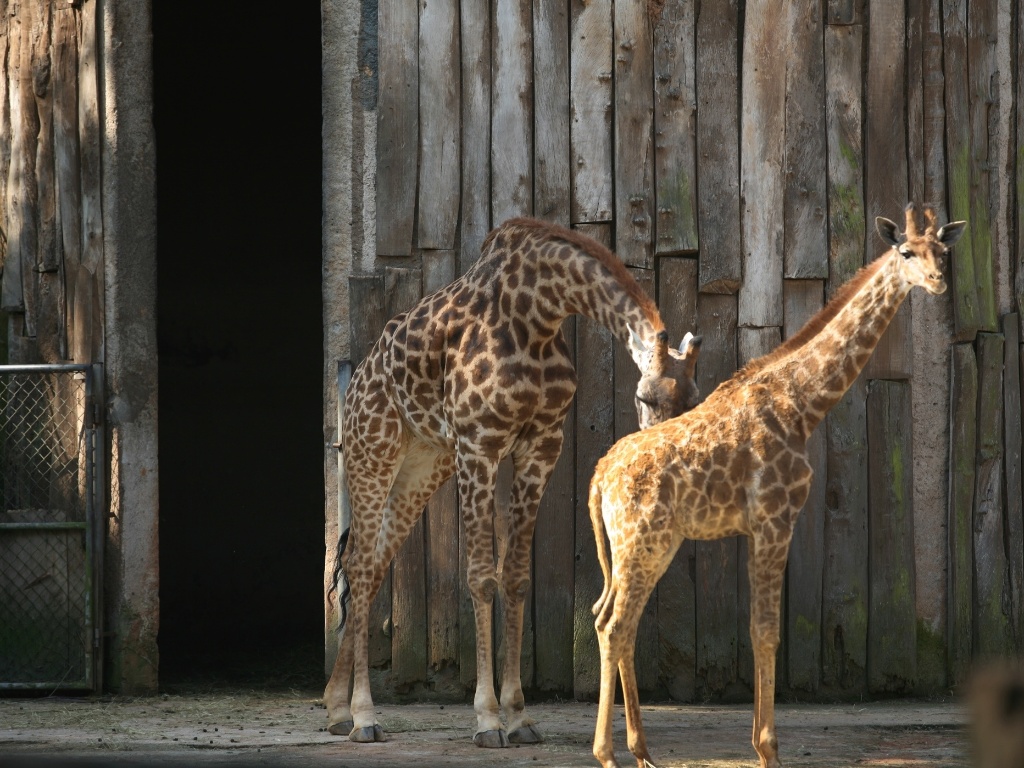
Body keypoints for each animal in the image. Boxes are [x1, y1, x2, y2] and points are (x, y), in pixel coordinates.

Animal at [325, 218, 704, 753]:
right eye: (644, 396)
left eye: (696, 400)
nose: (663, 461)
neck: (540, 313)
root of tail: (356, 379)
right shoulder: (479, 444)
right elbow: (482, 577)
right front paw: (487, 720)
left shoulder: (541, 446)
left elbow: (518, 578)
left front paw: (520, 717)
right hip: (372, 453)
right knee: (358, 567)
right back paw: (363, 715)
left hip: (423, 467)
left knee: (372, 566)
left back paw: (337, 708)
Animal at [589, 204, 962, 768]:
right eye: (905, 251)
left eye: (943, 250)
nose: (938, 281)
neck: (804, 403)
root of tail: (598, 476)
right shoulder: (774, 519)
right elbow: (766, 632)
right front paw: (768, 750)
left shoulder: (762, 526)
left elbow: (759, 629)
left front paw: (761, 744)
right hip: (641, 541)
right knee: (615, 627)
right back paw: (609, 753)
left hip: (646, 545)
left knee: (609, 620)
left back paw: (641, 750)